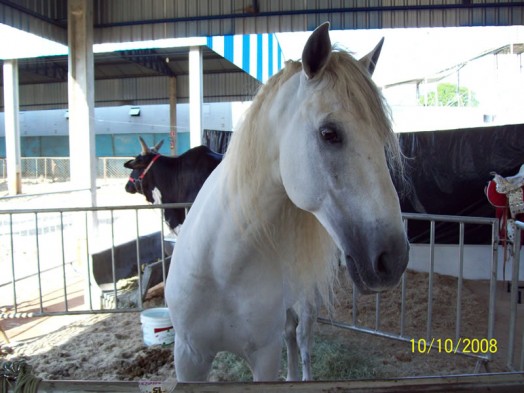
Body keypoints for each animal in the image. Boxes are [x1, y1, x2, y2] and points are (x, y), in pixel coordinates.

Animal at [166, 23, 412, 382]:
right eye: (329, 133)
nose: (393, 260)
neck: (221, 265)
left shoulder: (264, 356)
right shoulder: (188, 355)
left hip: (306, 303)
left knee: (301, 338)